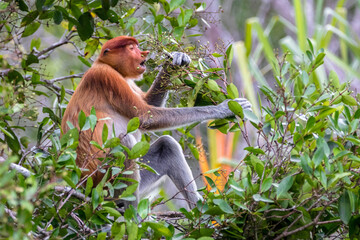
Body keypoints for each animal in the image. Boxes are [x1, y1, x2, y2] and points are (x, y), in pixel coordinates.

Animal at [61, 35, 253, 208]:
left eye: (137, 47)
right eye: (131, 48)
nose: (144, 53)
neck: (108, 65)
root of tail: (81, 183)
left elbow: (149, 105)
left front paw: (174, 61)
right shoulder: (107, 77)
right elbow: (146, 116)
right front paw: (224, 108)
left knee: (167, 146)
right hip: (104, 181)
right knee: (125, 143)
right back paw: (131, 214)